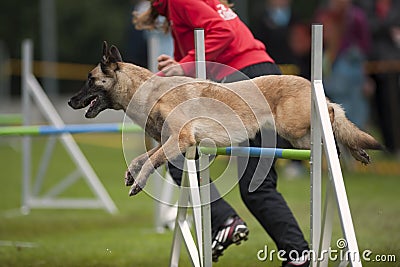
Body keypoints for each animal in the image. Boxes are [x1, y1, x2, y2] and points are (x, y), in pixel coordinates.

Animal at [69, 42, 382, 197]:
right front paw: (131, 174)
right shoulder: (168, 142)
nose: (71, 101)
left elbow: (149, 161)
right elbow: (140, 159)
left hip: (294, 127)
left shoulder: (180, 139)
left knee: (332, 114)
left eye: (90, 80)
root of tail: (309, 82)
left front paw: (138, 183)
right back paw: (357, 151)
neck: (147, 92)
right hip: (301, 138)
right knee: (335, 128)